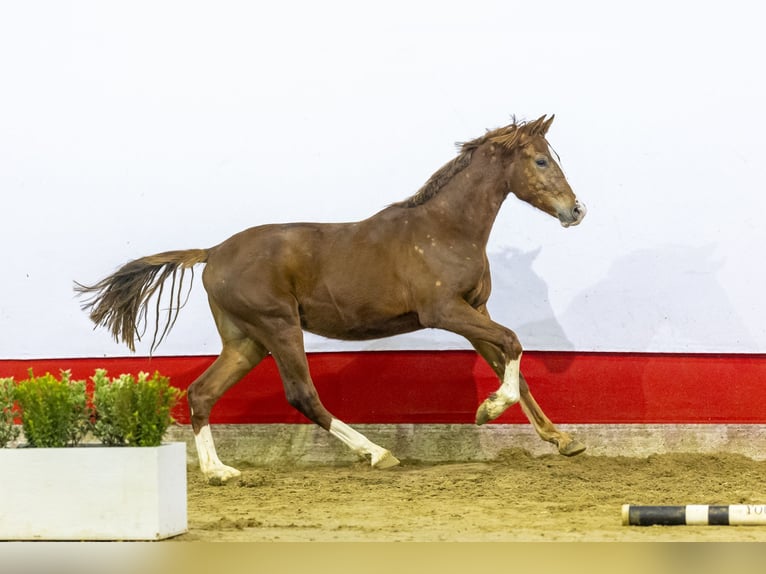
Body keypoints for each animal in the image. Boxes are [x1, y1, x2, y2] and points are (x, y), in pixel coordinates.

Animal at [75, 115, 588, 484]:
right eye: (541, 161)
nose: (576, 210)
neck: (446, 229)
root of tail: (214, 252)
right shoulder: (445, 312)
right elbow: (514, 343)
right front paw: (488, 411)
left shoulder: (474, 309)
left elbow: (511, 365)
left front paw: (563, 440)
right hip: (278, 326)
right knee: (302, 394)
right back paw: (377, 453)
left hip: (245, 341)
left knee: (202, 393)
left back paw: (219, 471)